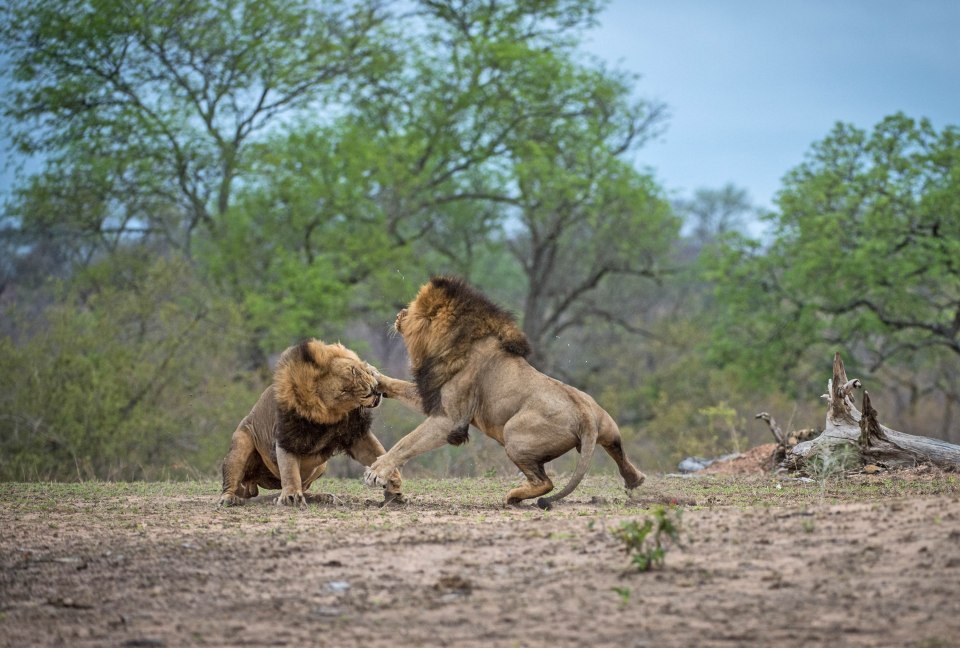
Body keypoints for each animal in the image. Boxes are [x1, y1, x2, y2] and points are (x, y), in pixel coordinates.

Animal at [219, 340, 404, 506]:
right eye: (344, 393)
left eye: (353, 370)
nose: (370, 391)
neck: (331, 418)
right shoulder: (287, 437)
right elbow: (289, 470)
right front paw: (291, 497)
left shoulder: (356, 435)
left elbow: (378, 453)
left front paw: (392, 486)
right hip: (241, 443)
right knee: (231, 482)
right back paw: (229, 499)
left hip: (321, 466)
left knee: (304, 489)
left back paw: (324, 497)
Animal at [364, 276, 648, 508]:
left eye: (410, 309)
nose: (399, 314)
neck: (452, 341)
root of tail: (586, 417)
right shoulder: (434, 397)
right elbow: (399, 387)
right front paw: (374, 377)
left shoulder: (450, 420)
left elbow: (406, 442)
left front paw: (376, 471)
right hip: (608, 426)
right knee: (618, 452)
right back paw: (635, 480)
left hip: (513, 435)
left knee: (546, 483)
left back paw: (513, 496)